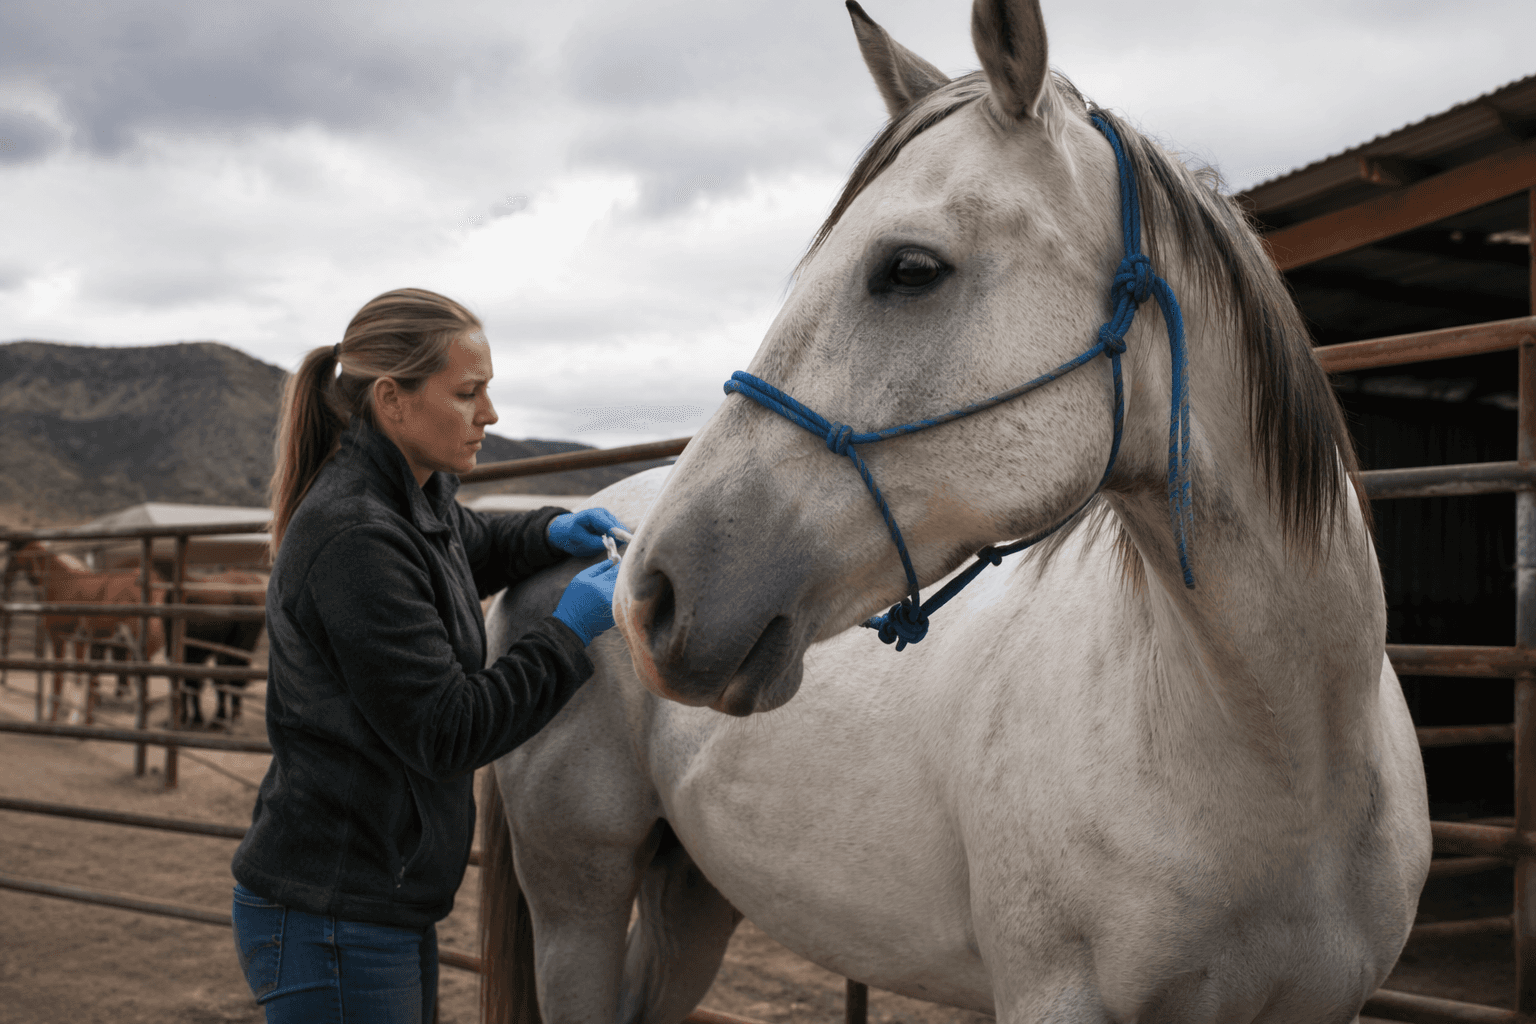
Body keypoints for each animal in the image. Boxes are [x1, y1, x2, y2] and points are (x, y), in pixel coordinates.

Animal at [9, 542, 165, 724]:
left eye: (13, 551)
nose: (6, 573)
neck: (62, 584)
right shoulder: (85, 642)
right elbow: (85, 677)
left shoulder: (64, 638)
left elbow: (65, 676)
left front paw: (64, 717)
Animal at [480, 2, 1431, 1022]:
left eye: (909, 268)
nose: (647, 596)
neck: (1287, 753)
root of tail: (586, 529)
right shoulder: (1058, 996)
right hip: (576, 897)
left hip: (692, 895)